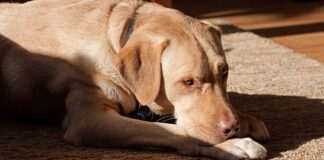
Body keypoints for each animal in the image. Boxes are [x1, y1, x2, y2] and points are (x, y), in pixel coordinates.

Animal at [0, 0, 268, 159]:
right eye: (188, 82)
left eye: (225, 72)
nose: (231, 128)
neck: (116, 39)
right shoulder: (89, 119)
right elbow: (171, 130)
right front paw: (236, 145)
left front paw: (247, 120)